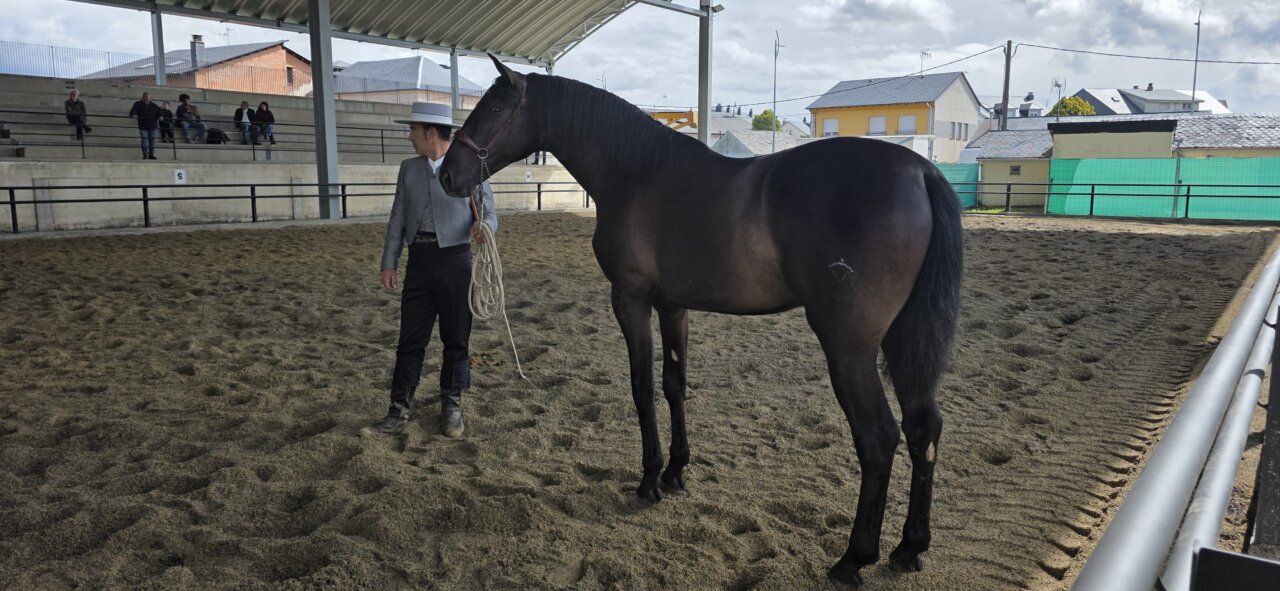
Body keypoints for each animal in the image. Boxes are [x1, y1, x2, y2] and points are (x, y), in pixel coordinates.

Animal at [439, 55, 963, 590]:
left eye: (494, 107)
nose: (447, 175)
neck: (638, 173)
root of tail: (920, 171)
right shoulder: (673, 307)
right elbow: (675, 384)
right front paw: (675, 471)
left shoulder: (630, 300)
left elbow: (642, 387)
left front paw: (649, 479)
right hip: (901, 339)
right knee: (924, 428)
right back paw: (909, 547)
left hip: (849, 347)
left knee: (878, 438)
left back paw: (853, 558)